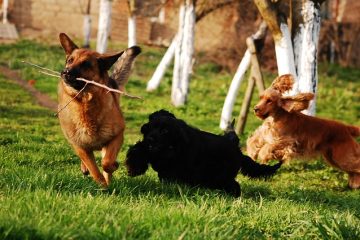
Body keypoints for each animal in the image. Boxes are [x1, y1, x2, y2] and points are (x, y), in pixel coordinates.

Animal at [57, 33, 140, 188]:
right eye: (70, 60)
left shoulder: (116, 136)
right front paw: (101, 183)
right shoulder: (79, 146)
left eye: (86, 64)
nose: (65, 72)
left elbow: (106, 163)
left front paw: (113, 168)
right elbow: (93, 167)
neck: (85, 104)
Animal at [126, 110, 282, 197]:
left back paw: (234, 197)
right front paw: (134, 166)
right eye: (150, 127)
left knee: (234, 185)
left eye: (164, 131)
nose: (150, 138)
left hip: (221, 176)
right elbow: (141, 150)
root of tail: (237, 150)